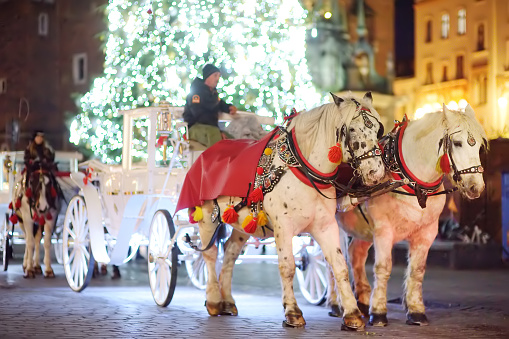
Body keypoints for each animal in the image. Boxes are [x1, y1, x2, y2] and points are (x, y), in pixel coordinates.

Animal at [178, 91, 384, 330]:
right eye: (351, 129)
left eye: (377, 129)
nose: (376, 172)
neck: (304, 169)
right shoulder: (283, 227)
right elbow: (287, 267)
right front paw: (292, 313)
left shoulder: (325, 226)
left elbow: (339, 266)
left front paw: (352, 314)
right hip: (207, 217)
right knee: (209, 255)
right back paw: (213, 300)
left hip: (243, 222)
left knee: (229, 253)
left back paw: (227, 301)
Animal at [328, 103, 486, 326]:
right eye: (457, 143)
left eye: (479, 145)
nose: (475, 187)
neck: (411, 181)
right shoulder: (383, 230)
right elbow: (383, 267)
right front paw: (378, 312)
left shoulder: (427, 232)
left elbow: (417, 270)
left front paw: (416, 310)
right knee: (331, 263)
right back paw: (336, 303)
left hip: (362, 230)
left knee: (355, 256)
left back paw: (362, 300)